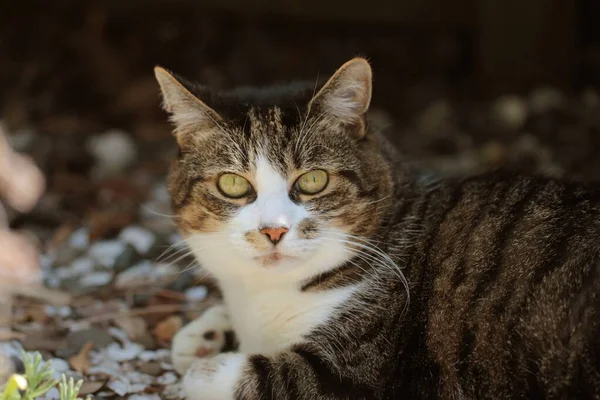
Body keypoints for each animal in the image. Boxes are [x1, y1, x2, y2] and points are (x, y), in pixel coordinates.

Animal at [154, 57, 600, 400]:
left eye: (313, 180)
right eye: (232, 184)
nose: (273, 231)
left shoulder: (361, 375)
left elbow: (271, 378)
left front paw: (208, 366)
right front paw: (206, 333)